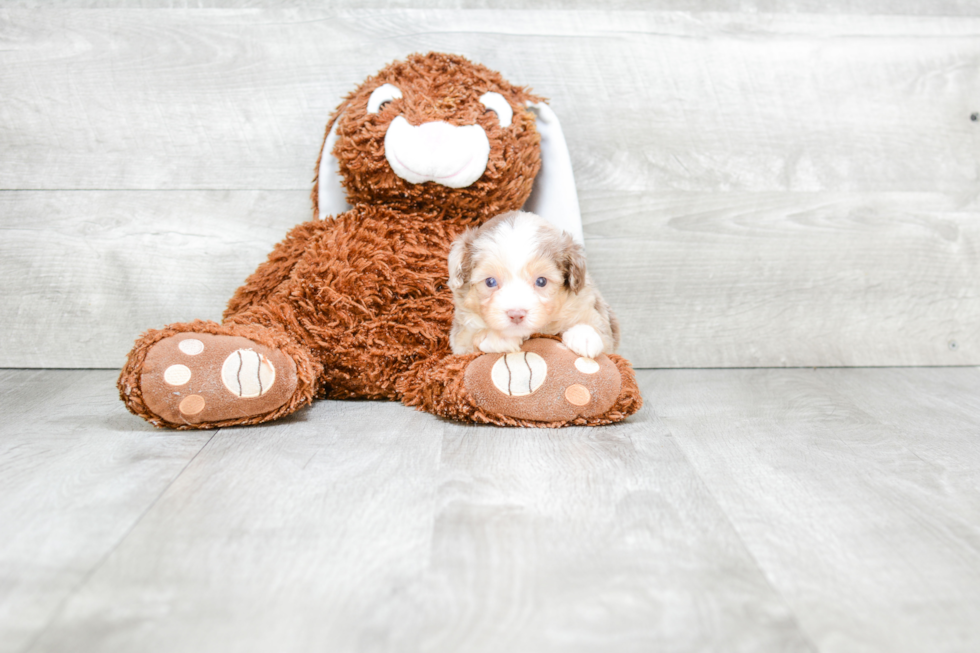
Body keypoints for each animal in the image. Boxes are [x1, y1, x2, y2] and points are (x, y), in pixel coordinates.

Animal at [446, 210, 620, 356]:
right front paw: (497, 337)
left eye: (541, 281)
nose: (516, 314)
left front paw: (584, 336)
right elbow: (472, 336)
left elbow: (595, 325)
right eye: (490, 281)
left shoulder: (587, 305)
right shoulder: (461, 338)